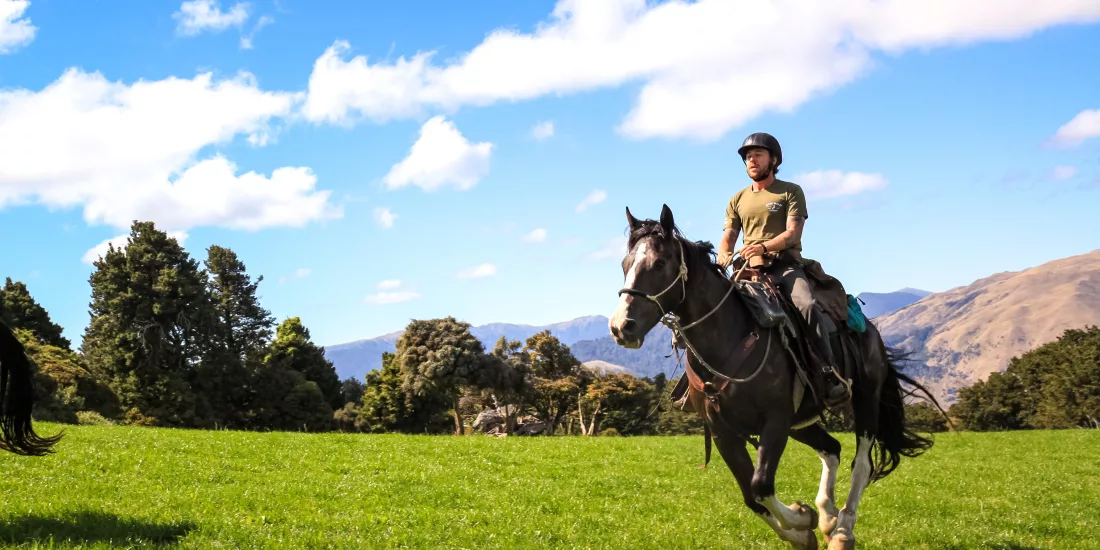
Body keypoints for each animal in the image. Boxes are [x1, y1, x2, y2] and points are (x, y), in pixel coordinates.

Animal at [607, 204, 944, 550]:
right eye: (625, 265)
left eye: (660, 263)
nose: (622, 327)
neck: (728, 341)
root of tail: (871, 331)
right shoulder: (724, 433)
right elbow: (750, 495)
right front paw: (804, 528)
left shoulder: (775, 421)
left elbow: (761, 485)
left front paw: (801, 519)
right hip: (801, 422)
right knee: (832, 449)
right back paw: (827, 516)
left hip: (865, 399)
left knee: (861, 463)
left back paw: (842, 529)